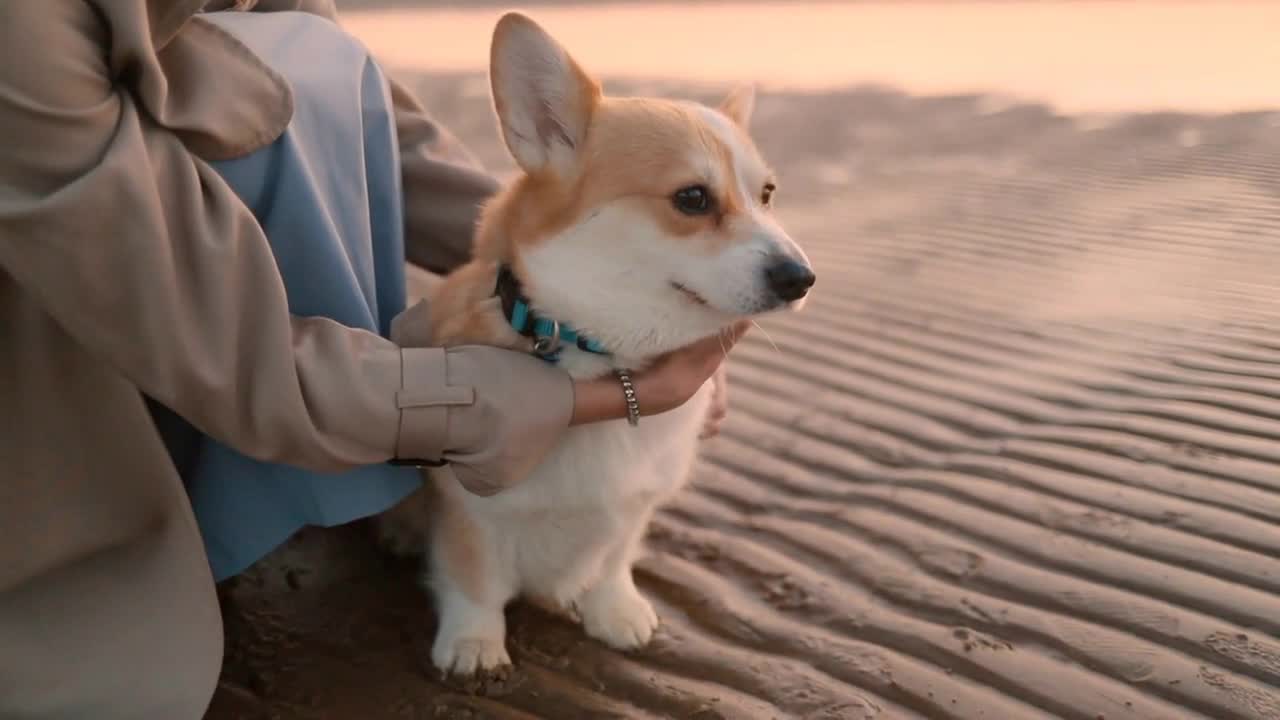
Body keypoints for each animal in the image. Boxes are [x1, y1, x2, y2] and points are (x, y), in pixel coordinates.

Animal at [378, 9, 814, 671]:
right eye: (692, 198)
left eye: (766, 195)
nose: (802, 278)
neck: (605, 355)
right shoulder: (469, 508)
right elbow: (474, 580)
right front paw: (475, 644)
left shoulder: (634, 508)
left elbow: (613, 560)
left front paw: (615, 612)